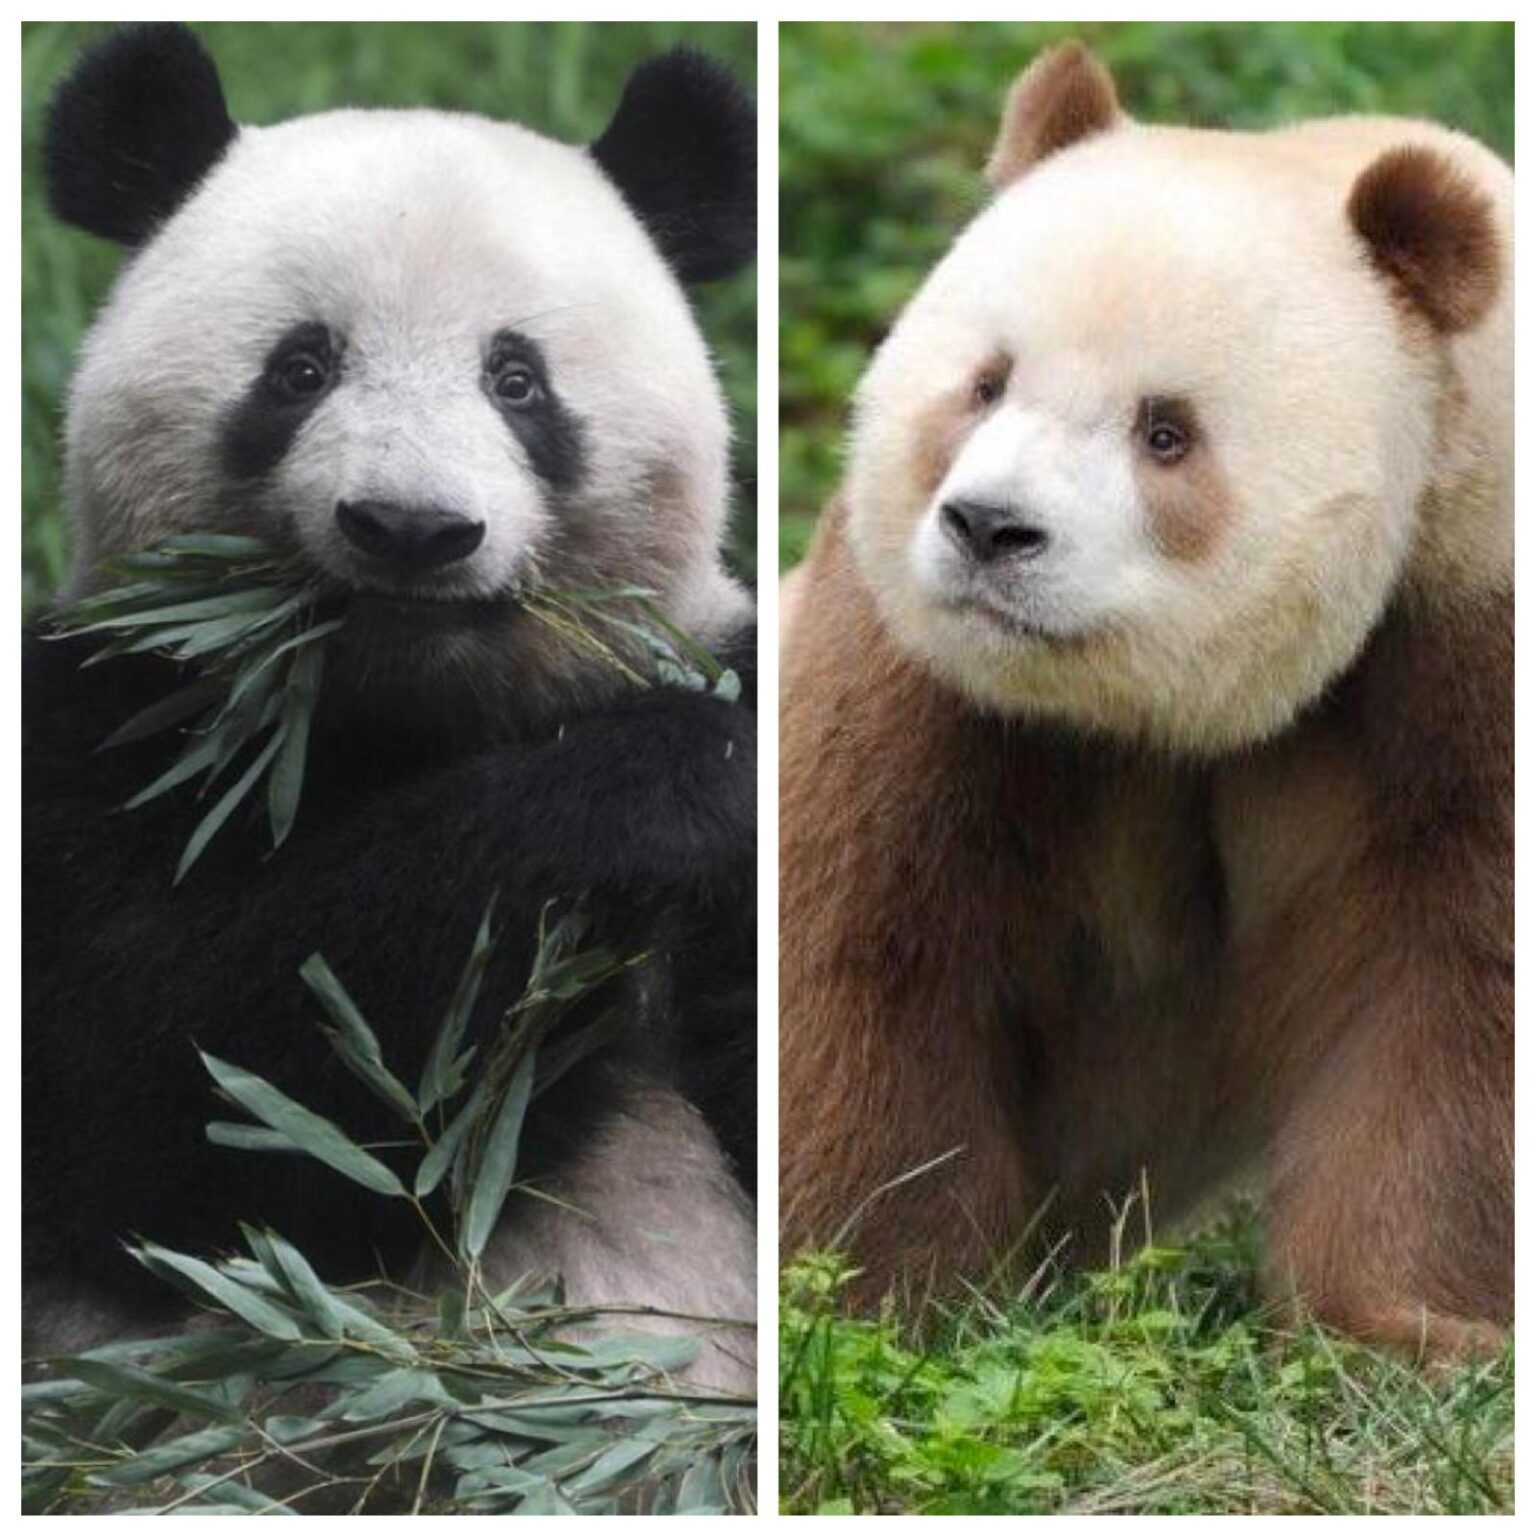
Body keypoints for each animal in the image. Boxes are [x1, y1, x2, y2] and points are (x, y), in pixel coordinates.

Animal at [24, 24, 757, 1389]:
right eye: (301, 367)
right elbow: (160, 1085)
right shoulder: (107, 718)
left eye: (516, 380)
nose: (410, 530)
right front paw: (668, 789)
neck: (407, 716)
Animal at [780, 44, 1511, 1360]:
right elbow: (868, 949)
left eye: (1166, 431)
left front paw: (1405, 1331)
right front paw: (864, 1309)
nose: (989, 529)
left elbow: (1455, 990)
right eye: (987, 383)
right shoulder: (912, 662)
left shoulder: (1465, 615)